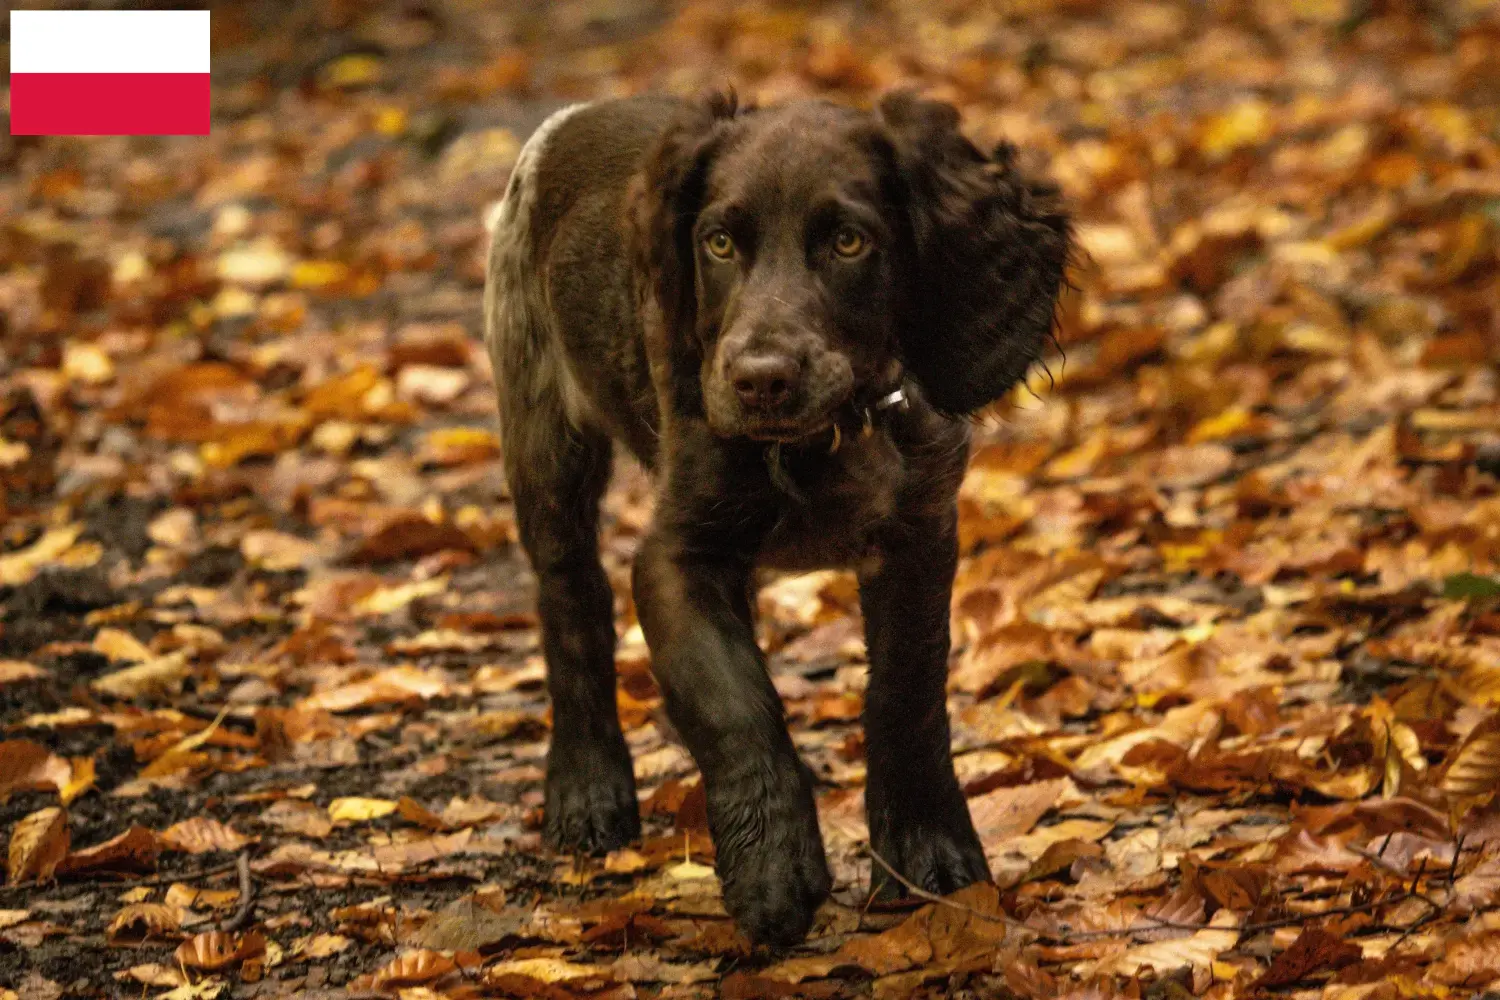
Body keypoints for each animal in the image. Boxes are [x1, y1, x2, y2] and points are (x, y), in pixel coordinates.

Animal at [480, 93, 1068, 947]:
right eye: (718, 243)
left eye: (850, 241)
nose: (759, 381)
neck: (824, 441)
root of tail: (580, 110)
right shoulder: (677, 555)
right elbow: (733, 705)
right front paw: (773, 873)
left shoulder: (921, 534)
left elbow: (908, 691)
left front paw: (927, 855)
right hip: (541, 434)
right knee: (572, 604)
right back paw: (587, 789)